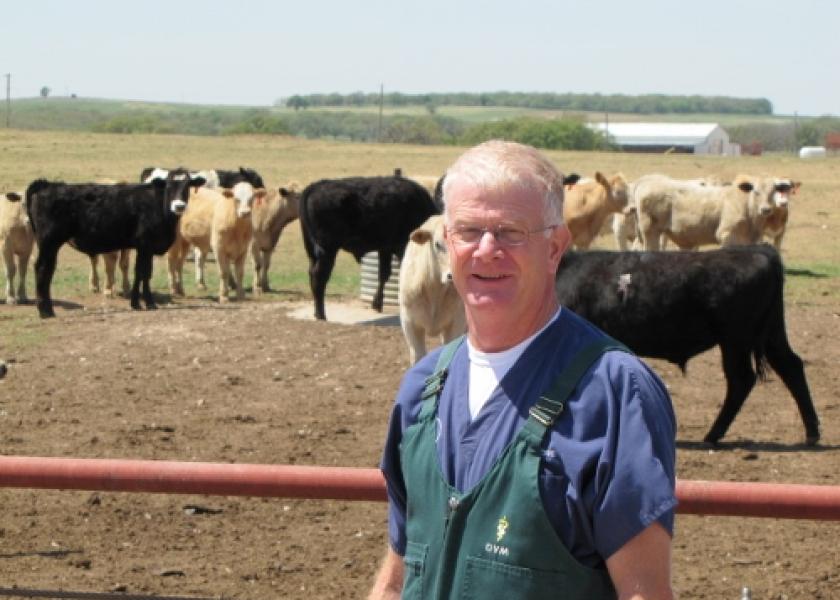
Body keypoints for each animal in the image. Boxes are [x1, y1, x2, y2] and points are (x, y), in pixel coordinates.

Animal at [27, 169, 205, 318]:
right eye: (168, 186)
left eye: (187, 186)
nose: (179, 206)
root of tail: (46, 185)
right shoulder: (146, 245)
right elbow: (144, 273)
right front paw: (149, 303)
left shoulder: (142, 248)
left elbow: (140, 272)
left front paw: (135, 303)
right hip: (49, 242)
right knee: (43, 269)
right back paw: (45, 310)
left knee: (48, 269)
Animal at [298, 176, 436, 322]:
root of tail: (315, 186)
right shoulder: (400, 248)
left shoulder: (385, 249)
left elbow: (384, 274)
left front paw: (377, 304)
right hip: (327, 250)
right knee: (319, 276)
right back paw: (321, 315)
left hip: (312, 252)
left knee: (312, 274)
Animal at [556, 244, 816, 446]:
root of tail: (757, 250)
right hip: (770, 332)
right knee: (790, 366)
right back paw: (812, 432)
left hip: (736, 339)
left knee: (741, 379)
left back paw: (713, 435)